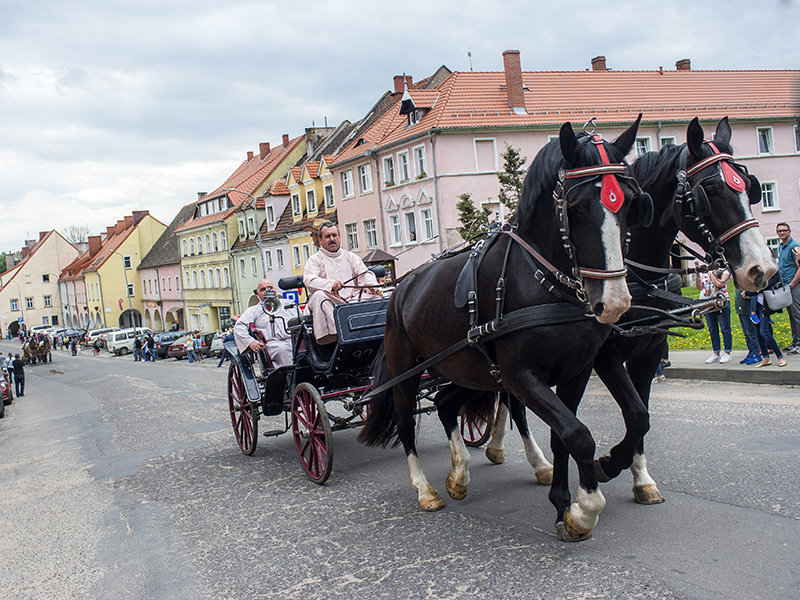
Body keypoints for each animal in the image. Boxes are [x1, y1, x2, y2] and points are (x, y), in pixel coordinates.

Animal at [359, 118, 651, 541]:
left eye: (629, 202)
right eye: (577, 207)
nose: (613, 302)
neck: (543, 279)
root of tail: (400, 287)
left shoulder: (576, 369)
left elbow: (569, 433)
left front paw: (567, 500)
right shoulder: (521, 375)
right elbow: (578, 435)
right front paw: (585, 509)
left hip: (467, 368)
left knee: (445, 403)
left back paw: (460, 473)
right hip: (407, 371)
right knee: (405, 421)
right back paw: (425, 489)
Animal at [482, 116, 777, 506]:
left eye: (750, 188)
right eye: (710, 191)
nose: (763, 269)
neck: (638, 280)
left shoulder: (649, 350)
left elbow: (643, 414)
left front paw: (640, 478)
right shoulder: (605, 354)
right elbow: (636, 413)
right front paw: (608, 464)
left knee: (505, 396)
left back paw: (502, 447)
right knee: (513, 401)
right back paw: (531, 459)